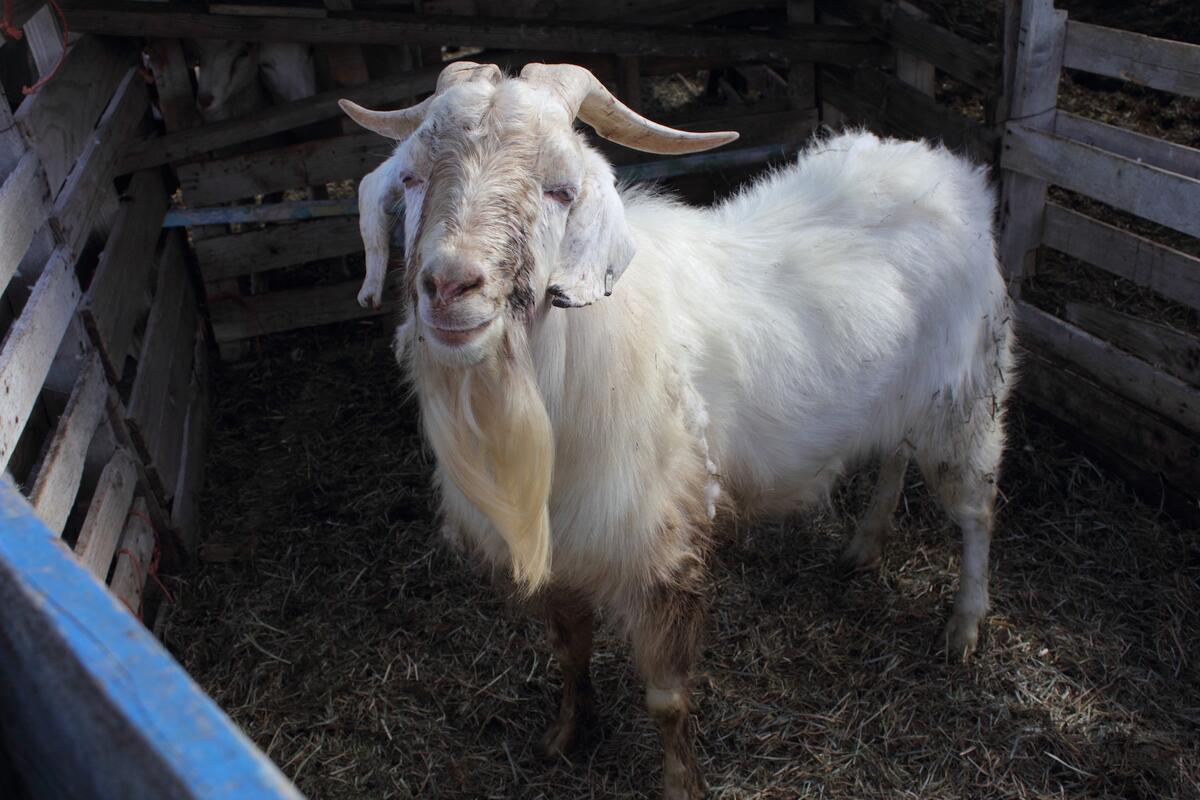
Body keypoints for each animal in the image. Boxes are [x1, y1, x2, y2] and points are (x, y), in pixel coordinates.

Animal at [342, 62, 1015, 800]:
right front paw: (565, 735)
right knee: (894, 455)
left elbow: (667, 698)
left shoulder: (664, 545)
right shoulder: (566, 548)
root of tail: (950, 171)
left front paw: (680, 783)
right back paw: (864, 545)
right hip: (901, 400)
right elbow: (569, 652)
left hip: (966, 399)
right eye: (411, 178)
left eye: (560, 189)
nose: (449, 285)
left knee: (977, 510)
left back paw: (964, 626)